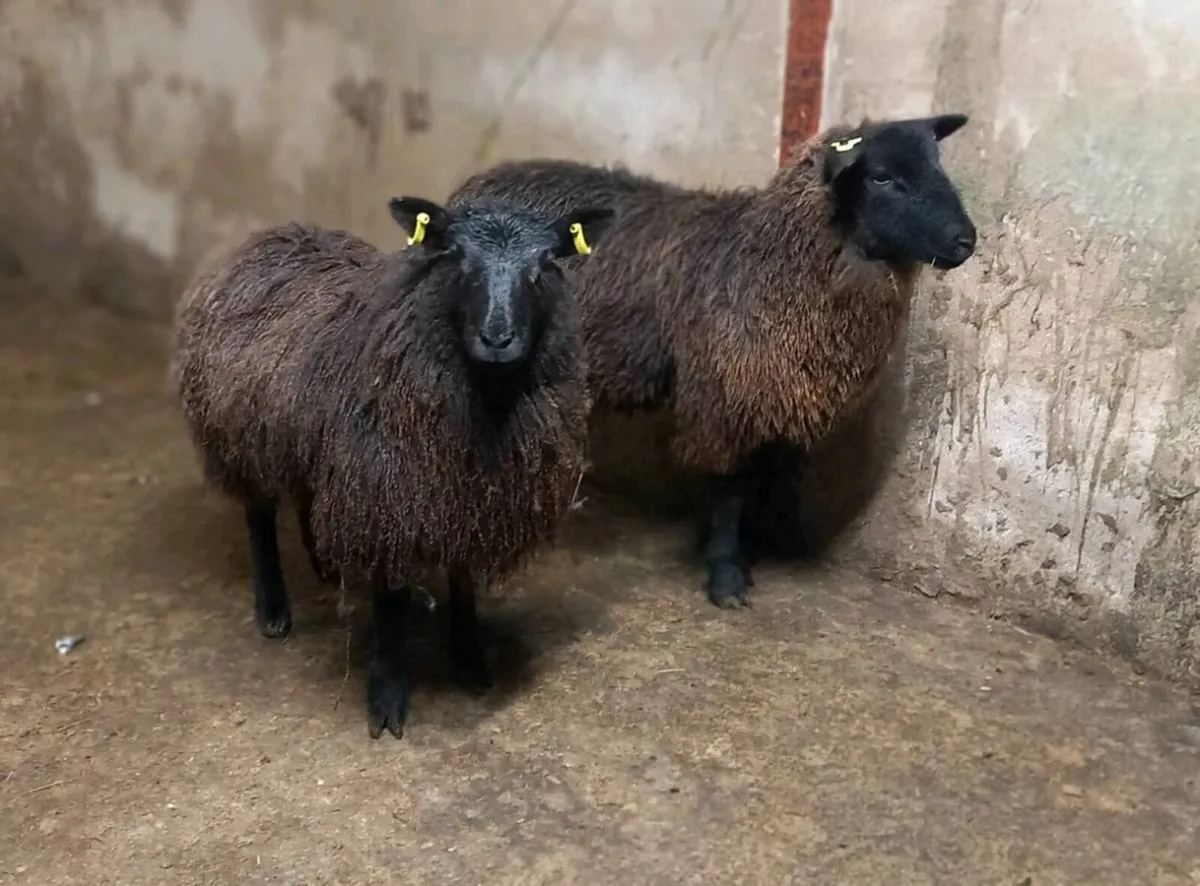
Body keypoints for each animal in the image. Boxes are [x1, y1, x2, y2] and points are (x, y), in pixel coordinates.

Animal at [172, 195, 613, 739]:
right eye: (455, 256)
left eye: (545, 264)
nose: (497, 338)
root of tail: (269, 235)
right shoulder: (385, 497)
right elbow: (391, 605)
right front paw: (386, 699)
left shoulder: (462, 497)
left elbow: (463, 581)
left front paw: (469, 659)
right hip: (241, 434)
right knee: (259, 515)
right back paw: (273, 609)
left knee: (305, 491)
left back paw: (323, 561)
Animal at [448, 114, 977, 609]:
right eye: (882, 177)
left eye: (936, 163)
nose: (966, 241)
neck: (772, 261)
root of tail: (479, 185)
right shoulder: (724, 399)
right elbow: (729, 492)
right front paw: (725, 573)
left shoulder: (780, 392)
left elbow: (771, 476)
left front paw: (765, 543)